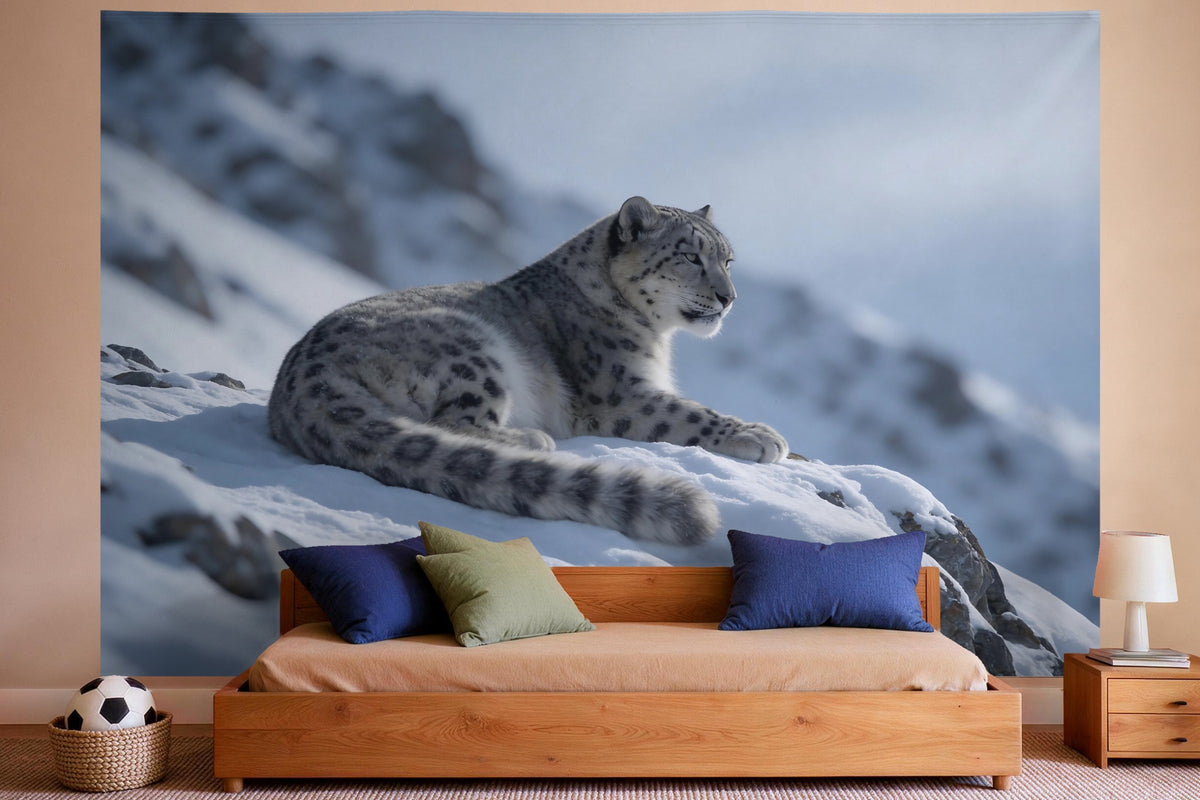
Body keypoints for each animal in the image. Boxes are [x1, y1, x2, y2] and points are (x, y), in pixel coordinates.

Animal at [268, 196, 789, 544]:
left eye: (727, 260)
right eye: (689, 256)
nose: (729, 298)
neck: (657, 338)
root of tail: (299, 375)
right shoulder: (619, 393)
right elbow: (691, 413)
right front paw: (761, 435)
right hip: (474, 348)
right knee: (453, 423)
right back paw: (532, 439)